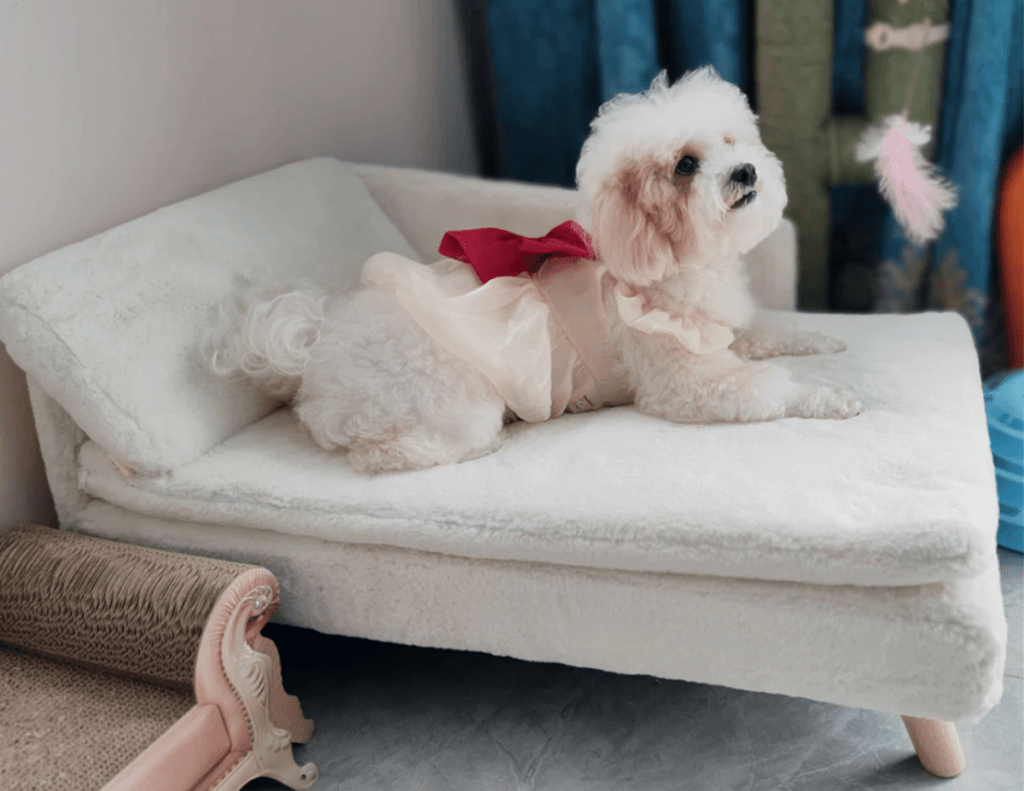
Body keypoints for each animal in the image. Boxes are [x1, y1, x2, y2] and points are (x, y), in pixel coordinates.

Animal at [207, 68, 864, 473]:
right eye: (685, 165)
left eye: (732, 142)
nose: (746, 172)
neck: (668, 267)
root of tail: (314, 345)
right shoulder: (689, 381)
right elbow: (771, 388)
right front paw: (832, 395)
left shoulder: (723, 327)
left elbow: (772, 331)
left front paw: (821, 339)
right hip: (453, 407)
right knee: (387, 454)